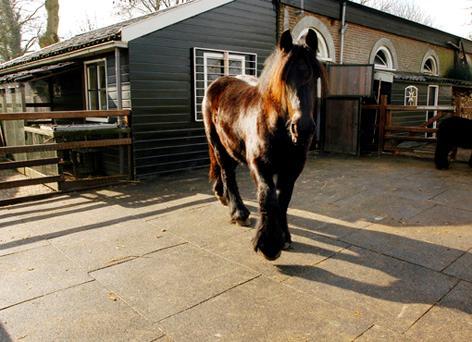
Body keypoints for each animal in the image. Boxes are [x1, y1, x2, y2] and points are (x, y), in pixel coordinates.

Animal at [203, 30, 328, 260]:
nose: (303, 128)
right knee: (227, 172)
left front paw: (284, 238)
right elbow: (268, 196)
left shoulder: (292, 169)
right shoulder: (260, 165)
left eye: (315, 76)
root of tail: (218, 82)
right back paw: (239, 213)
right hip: (217, 143)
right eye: (284, 78)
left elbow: (283, 199)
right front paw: (268, 245)